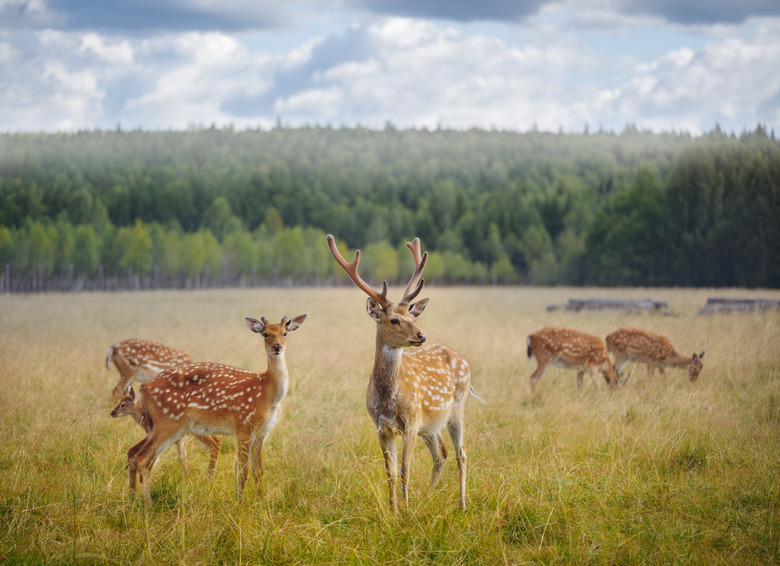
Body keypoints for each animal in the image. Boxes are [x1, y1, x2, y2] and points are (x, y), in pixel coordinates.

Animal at [126, 316, 306, 506]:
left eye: (285, 333)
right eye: (265, 334)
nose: (277, 347)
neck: (268, 394)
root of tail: (143, 388)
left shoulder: (262, 433)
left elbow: (258, 471)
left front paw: (261, 501)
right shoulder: (243, 428)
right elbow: (242, 472)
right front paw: (240, 504)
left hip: (161, 426)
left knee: (133, 452)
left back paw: (133, 497)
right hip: (167, 422)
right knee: (142, 458)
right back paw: (148, 504)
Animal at [324, 235, 482, 516]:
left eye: (412, 316)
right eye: (394, 320)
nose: (421, 335)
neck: (388, 399)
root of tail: (463, 359)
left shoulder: (410, 422)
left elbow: (405, 469)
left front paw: (406, 512)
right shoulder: (381, 426)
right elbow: (389, 472)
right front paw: (393, 510)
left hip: (456, 407)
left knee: (461, 452)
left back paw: (462, 504)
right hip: (430, 425)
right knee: (440, 453)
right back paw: (428, 497)